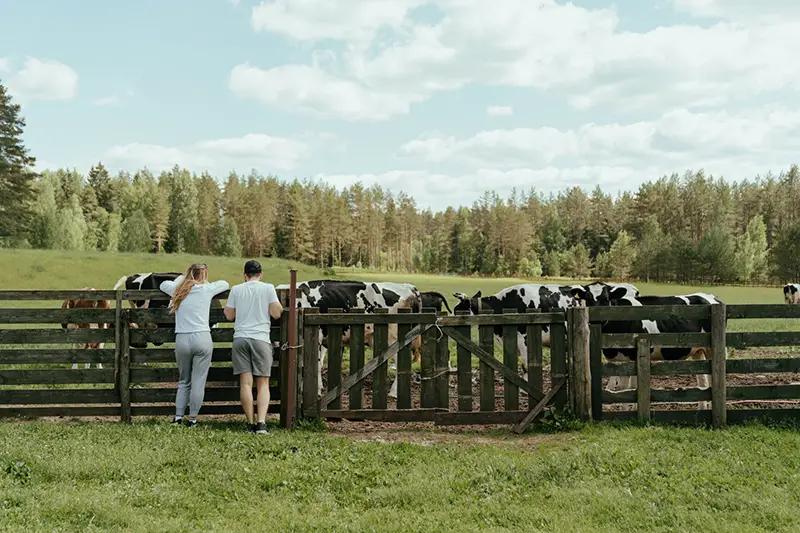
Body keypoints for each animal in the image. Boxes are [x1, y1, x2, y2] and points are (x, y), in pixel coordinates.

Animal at [276, 278, 424, 394]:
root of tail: (409, 287)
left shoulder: (317, 337)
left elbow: (314, 365)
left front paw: (315, 390)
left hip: (395, 337)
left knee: (401, 361)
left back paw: (393, 392)